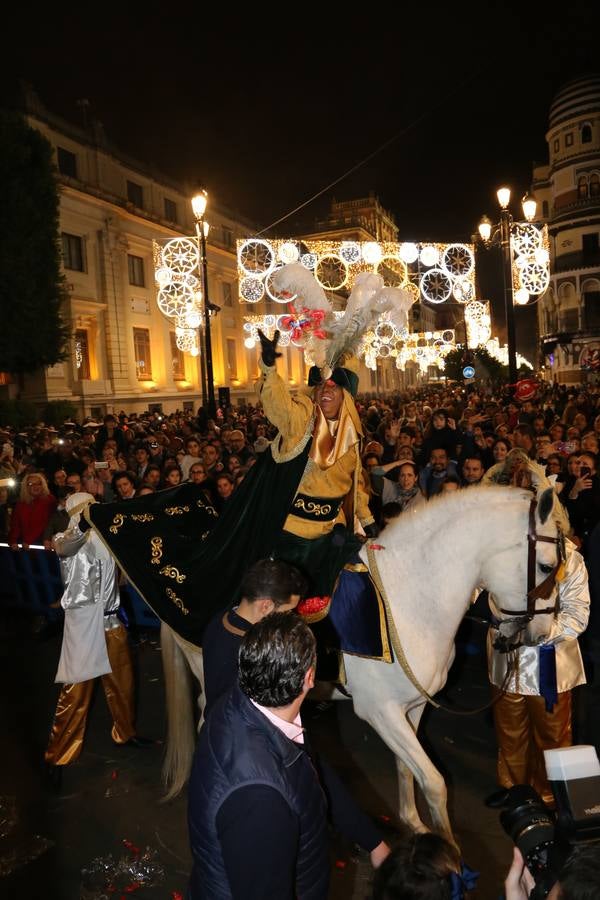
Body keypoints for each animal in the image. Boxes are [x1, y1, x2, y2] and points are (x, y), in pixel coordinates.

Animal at [159, 486, 564, 836]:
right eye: (546, 567)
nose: (542, 633)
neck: (409, 600)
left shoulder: (412, 706)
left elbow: (408, 769)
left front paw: (413, 823)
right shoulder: (379, 711)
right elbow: (435, 782)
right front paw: (449, 852)